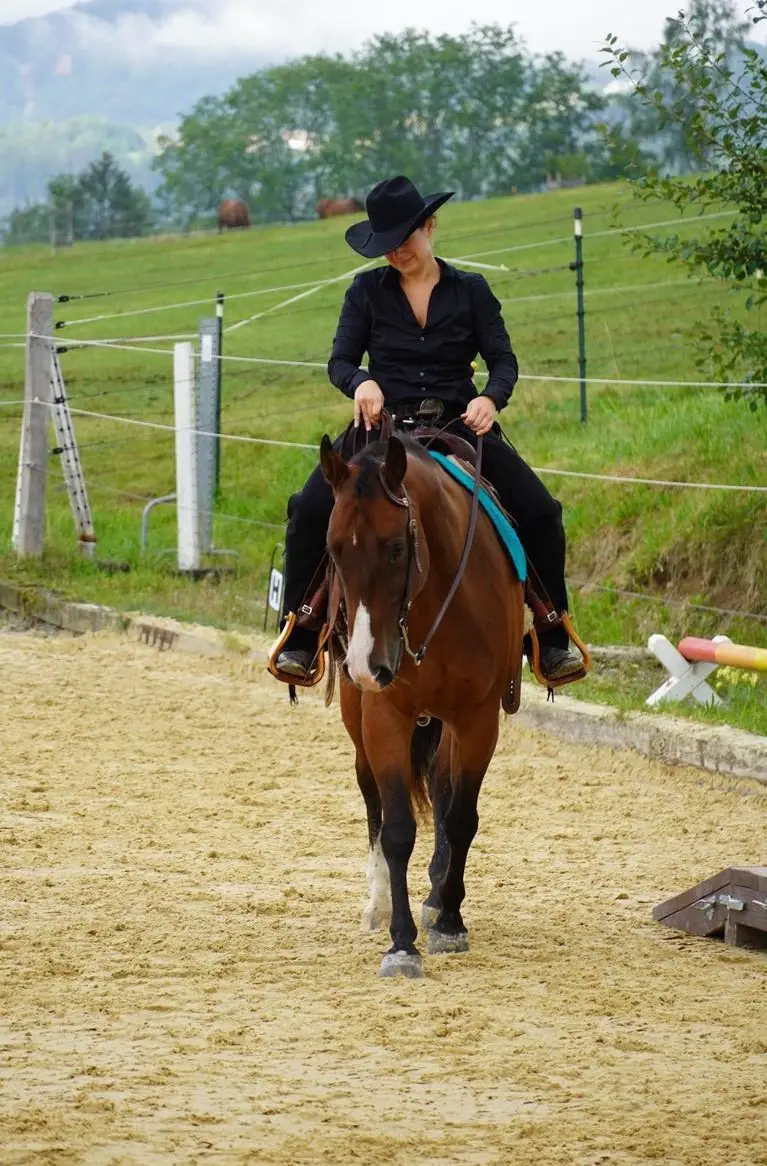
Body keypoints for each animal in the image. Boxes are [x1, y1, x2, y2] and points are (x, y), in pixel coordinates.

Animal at [318, 430, 525, 979]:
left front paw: (449, 922)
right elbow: (396, 829)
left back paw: (436, 897)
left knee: (443, 787)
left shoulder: (477, 718)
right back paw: (379, 903)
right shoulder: (385, 716)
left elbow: (460, 816)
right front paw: (401, 943)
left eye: (395, 548)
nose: (366, 665)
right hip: (359, 720)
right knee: (371, 796)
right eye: (333, 550)